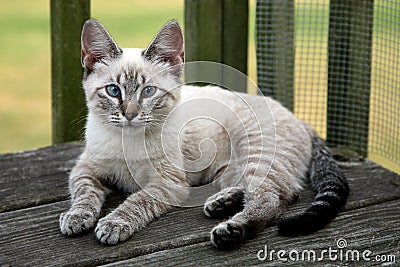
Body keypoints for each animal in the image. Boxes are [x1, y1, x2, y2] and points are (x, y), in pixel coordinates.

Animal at [59, 19, 350, 251]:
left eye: (148, 92)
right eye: (113, 91)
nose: (130, 114)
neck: (127, 141)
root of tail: (300, 119)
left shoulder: (168, 183)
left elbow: (136, 201)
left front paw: (113, 223)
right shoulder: (86, 168)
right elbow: (84, 193)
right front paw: (76, 217)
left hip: (255, 150)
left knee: (275, 196)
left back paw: (231, 231)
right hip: (230, 168)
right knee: (266, 189)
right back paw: (222, 202)